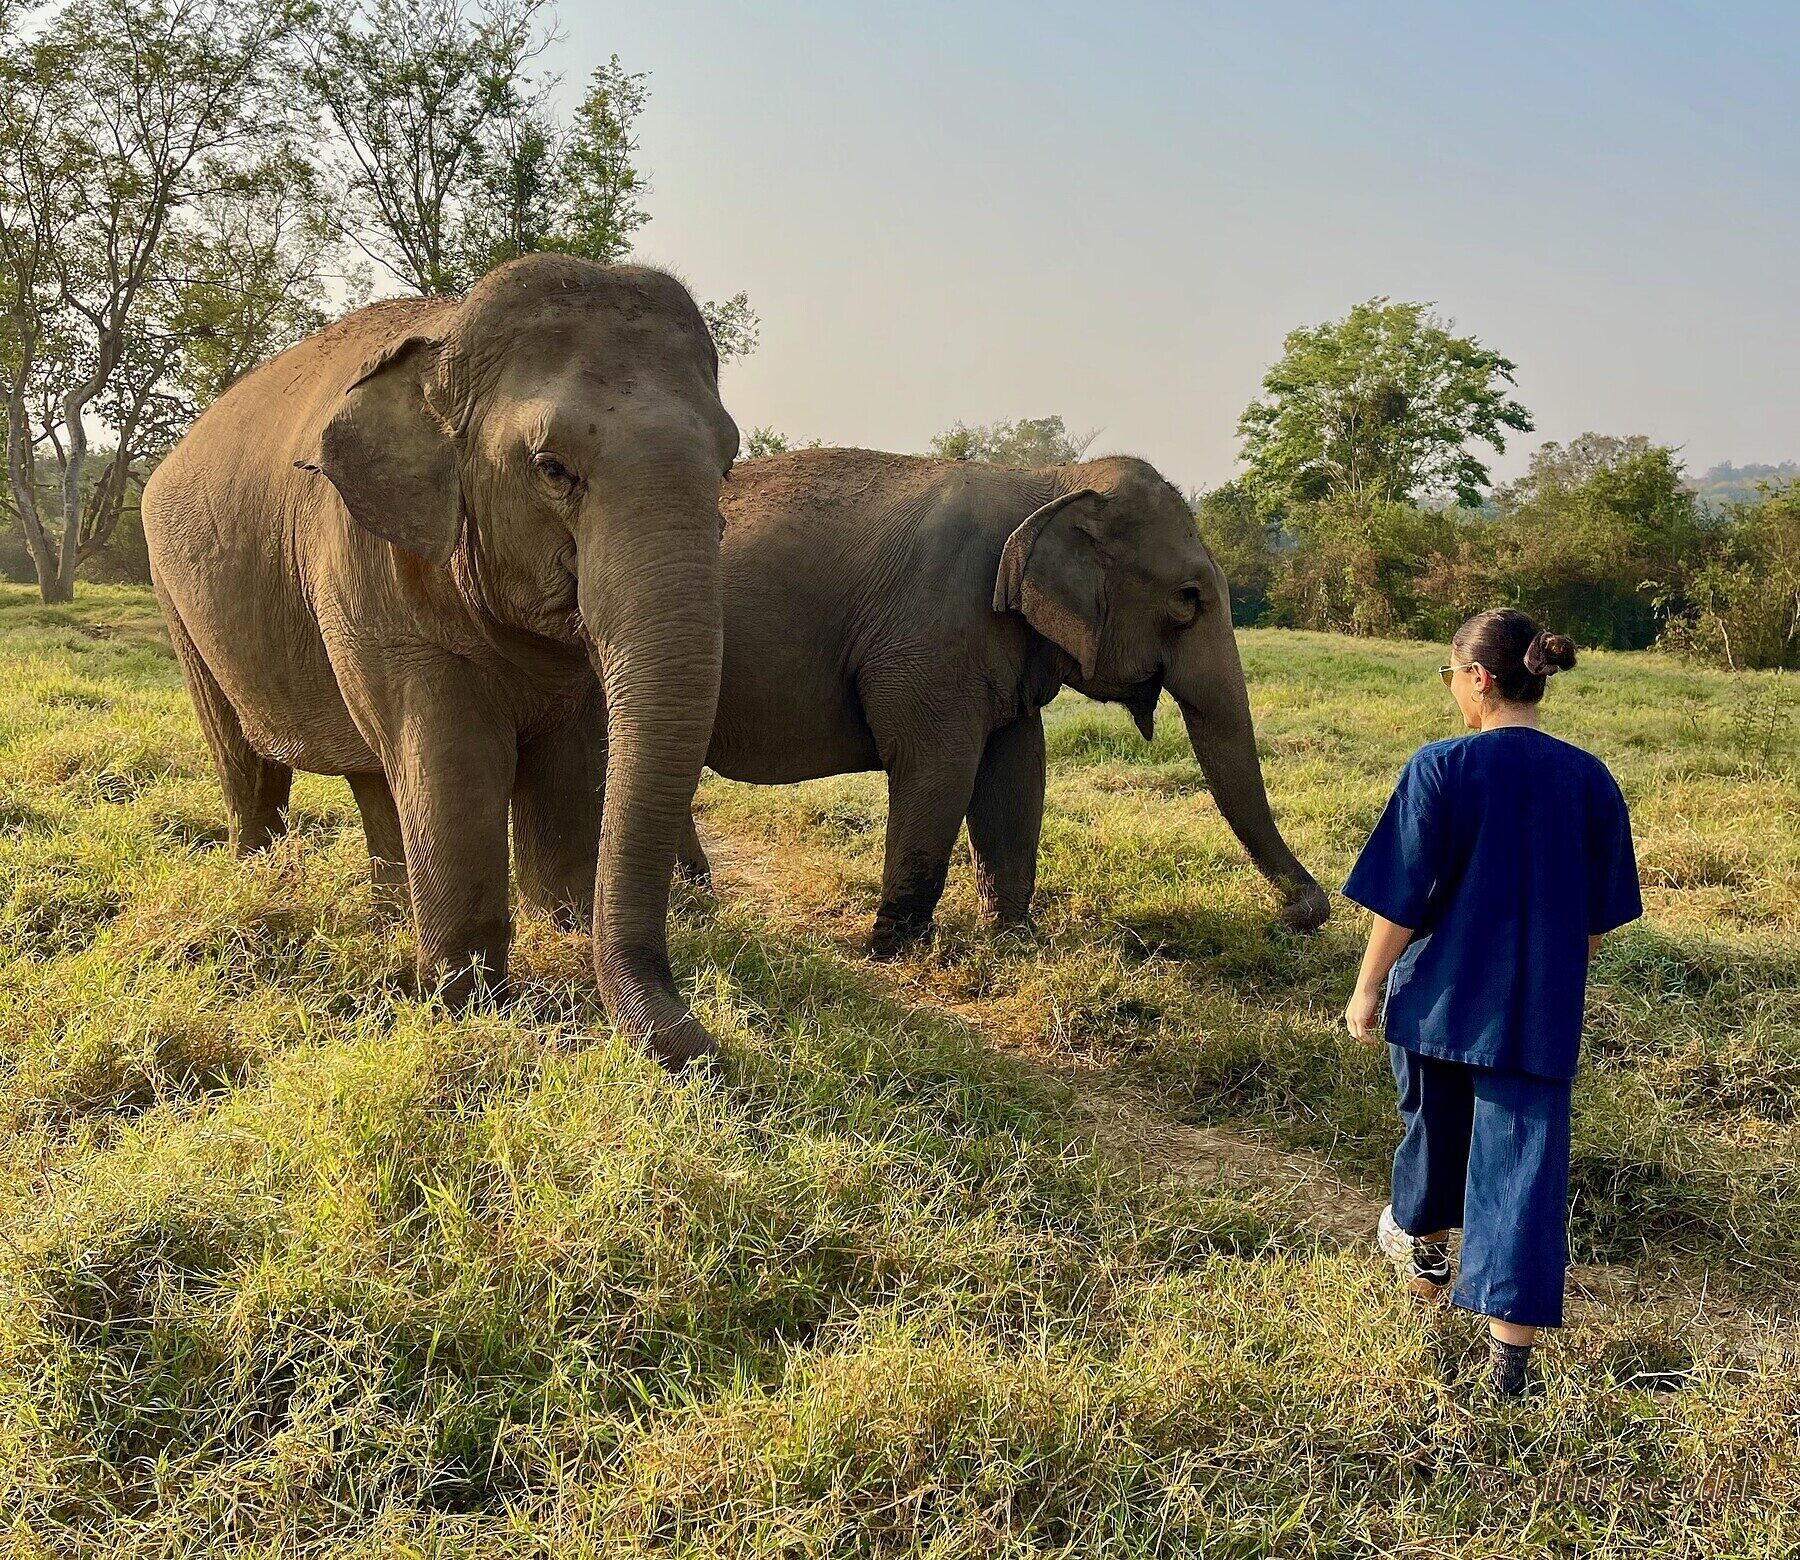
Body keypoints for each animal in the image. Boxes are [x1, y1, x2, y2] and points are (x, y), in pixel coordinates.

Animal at [142, 254, 738, 1067]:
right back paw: (258, 888)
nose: (708, 1051)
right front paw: (467, 1003)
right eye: (553, 468)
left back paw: (390, 917)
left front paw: (560, 930)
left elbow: (569, 765)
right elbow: (455, 758)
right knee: (247, 765)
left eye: (728, 466)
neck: (446, 343)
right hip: (178, 602)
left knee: (375, 776)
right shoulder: (367, 559)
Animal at [672, 447, 1330, 951]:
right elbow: (939, 766)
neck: (1049, 481)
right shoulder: (931, 639)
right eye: (1188, 598)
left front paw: (1015, 941)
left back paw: (693, 900)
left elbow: (1015, 770)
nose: (1300, 915)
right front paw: (896, 949)